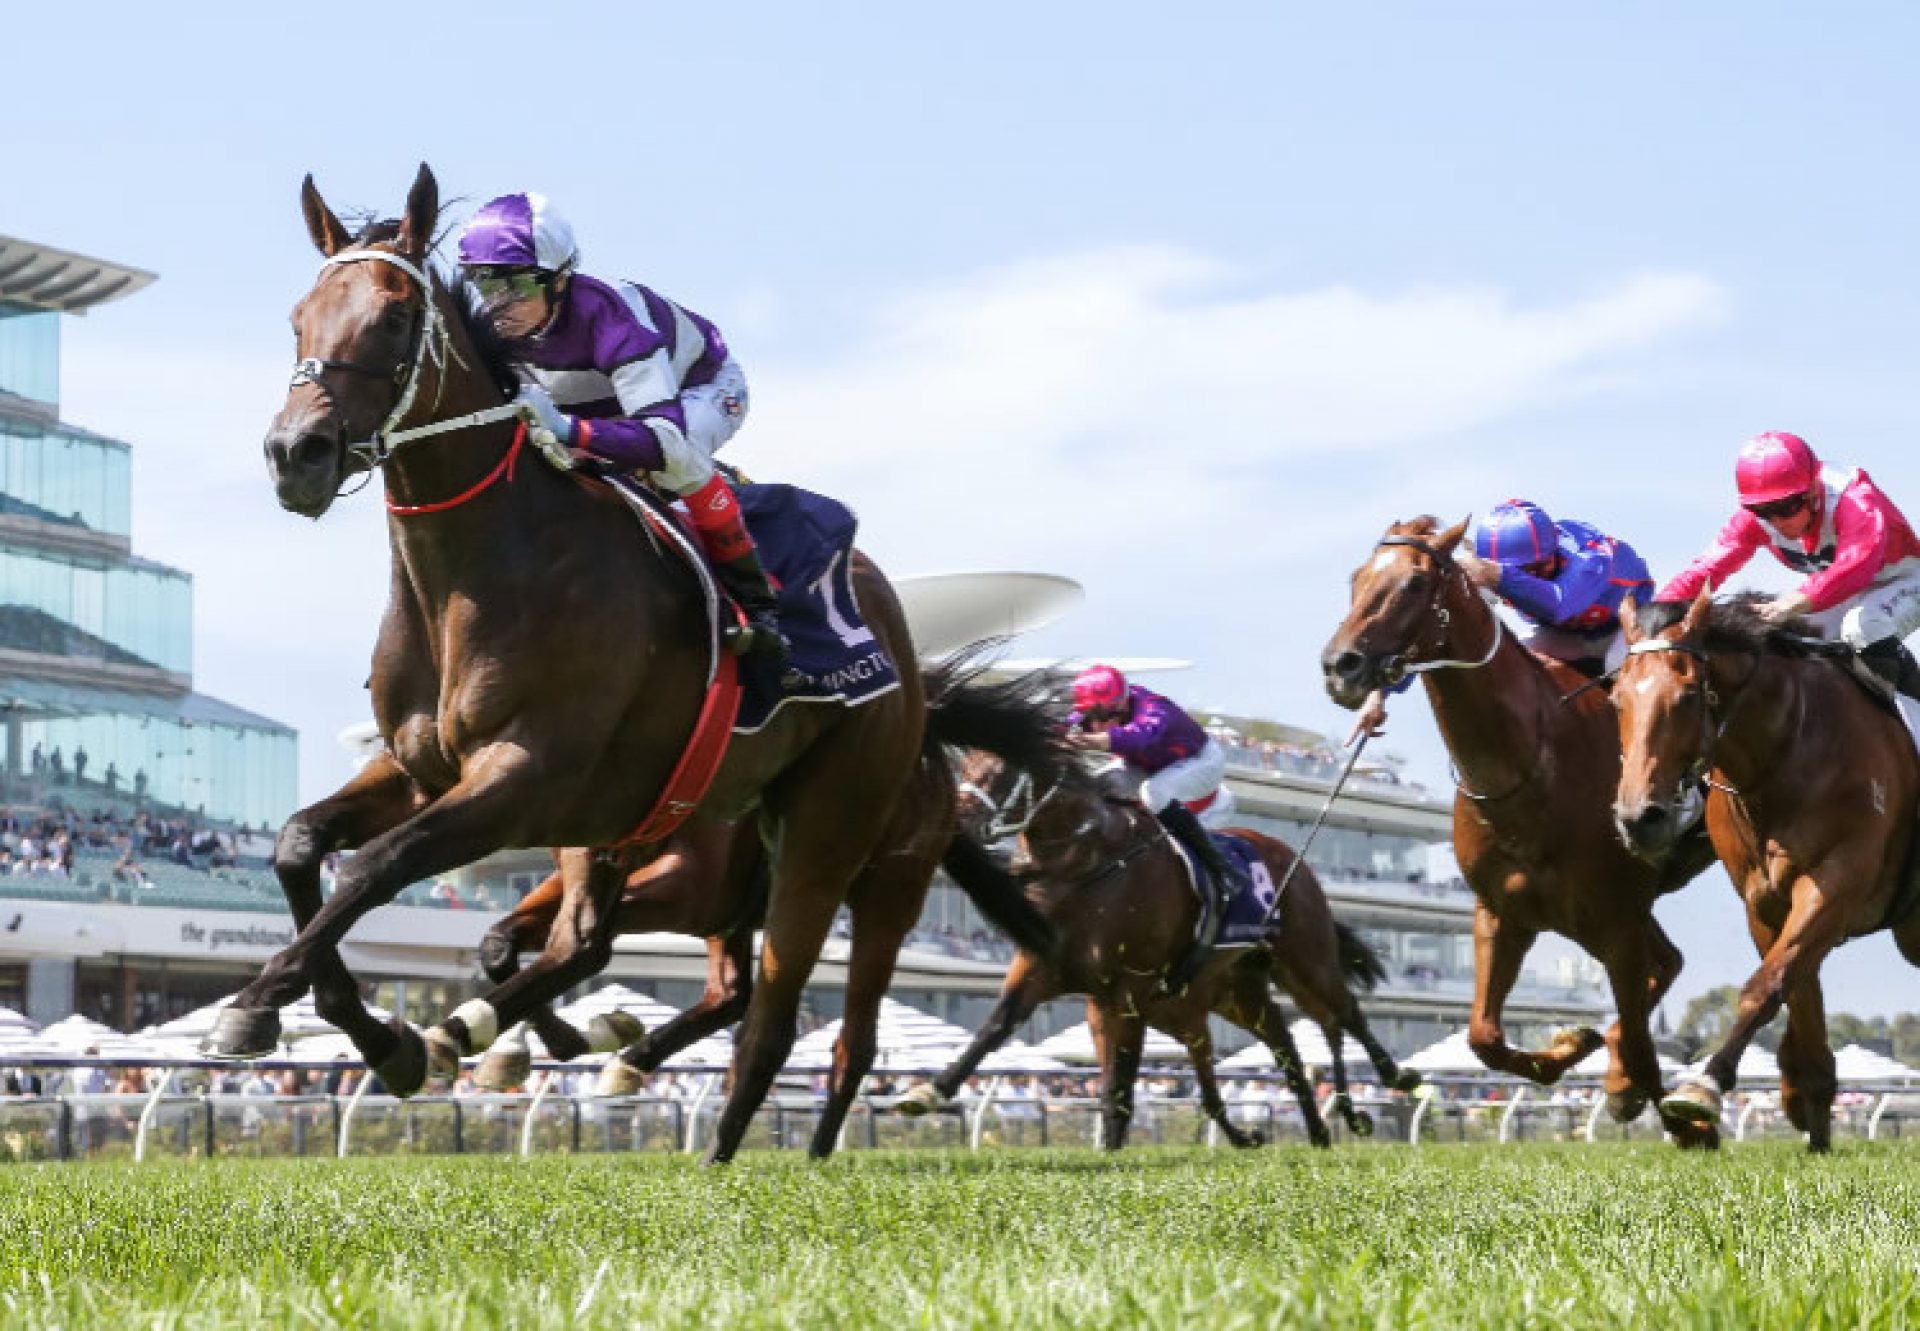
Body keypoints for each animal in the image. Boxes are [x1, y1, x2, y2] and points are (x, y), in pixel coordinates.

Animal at [220, 163, 1052, 1160]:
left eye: (392, 314)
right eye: (299, 317)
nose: (295, 453)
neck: (483, 567)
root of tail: (910, 665)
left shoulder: (524, 774)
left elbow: (373, 867)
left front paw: (278, 1003)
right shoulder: (422, 768)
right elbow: (302, 844)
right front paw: (381, 1036)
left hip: (840, 842)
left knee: (788, 1018)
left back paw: (721, 1150)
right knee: (605, 948)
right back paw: (512, 1036)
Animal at [1320, 514, 1728, 1144]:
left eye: (1414, 584)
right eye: (1356, 578)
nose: (1341, 666)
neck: (1529, 767)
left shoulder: (1616, 919)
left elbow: (1638, 1042)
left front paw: (1673, 1112)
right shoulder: (1503, 914)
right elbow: (1483, 1036)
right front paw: (1568, 1045)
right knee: (1667, 964)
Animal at [1605, 587, 1920, 1144]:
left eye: (1688, 696)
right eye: (1617, 699)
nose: (1639, 818)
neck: (1788, 748)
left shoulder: (1837, 881)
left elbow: (1767, 985)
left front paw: (1702, 1087)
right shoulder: (1764, 903)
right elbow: (1799, 997)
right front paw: (1810, 1120)